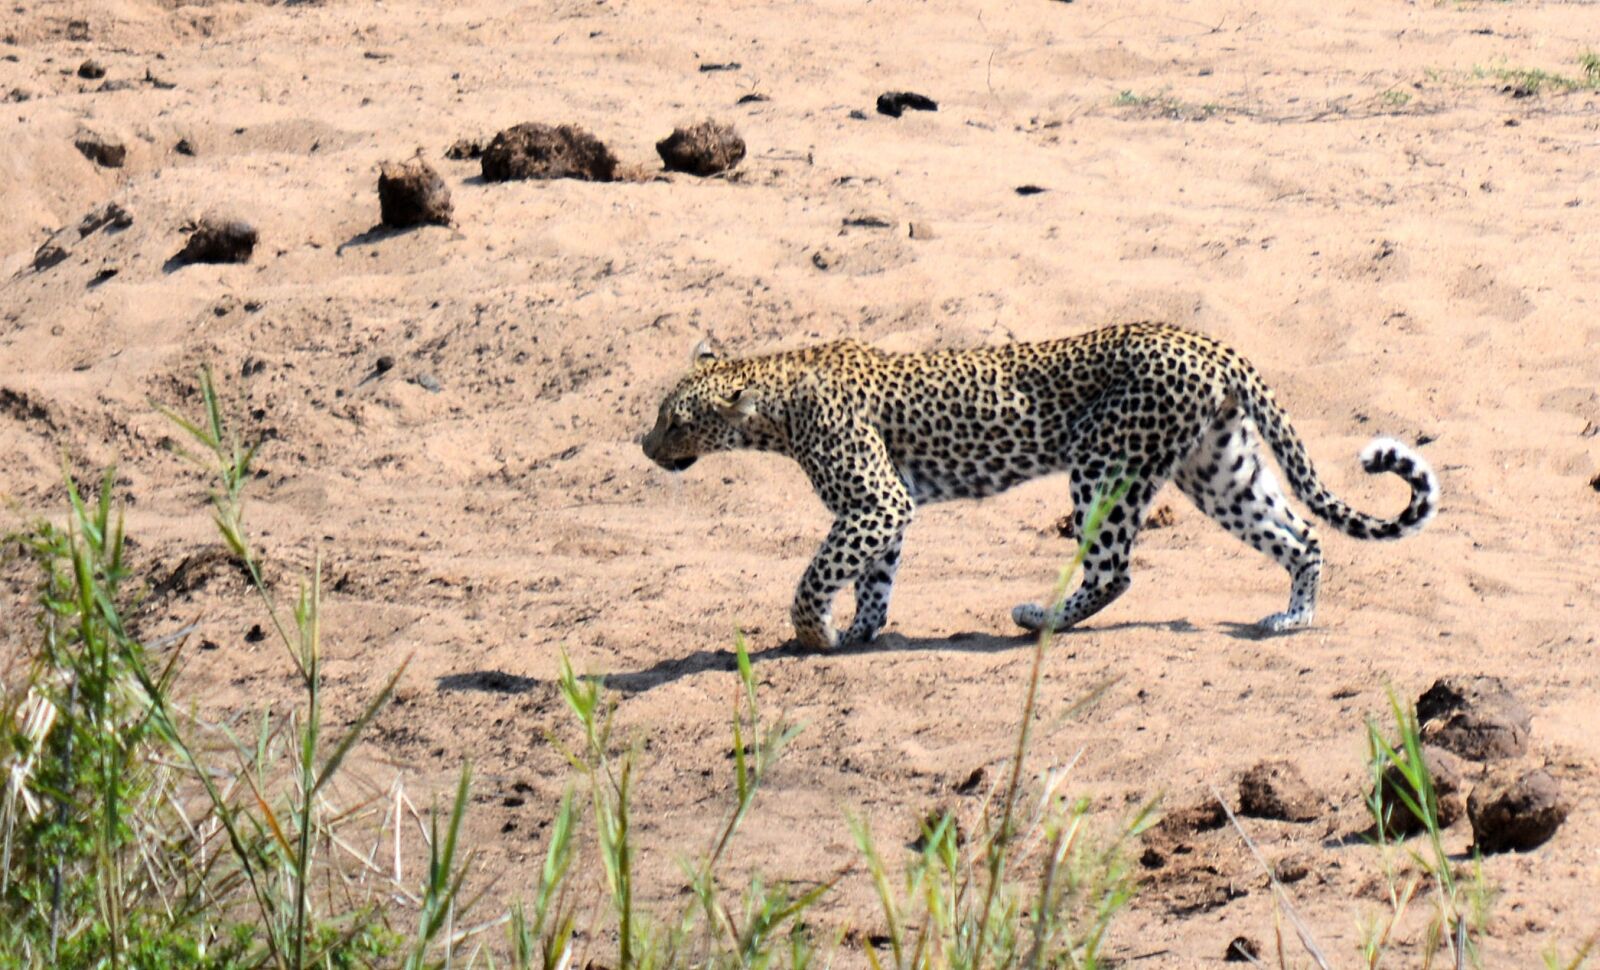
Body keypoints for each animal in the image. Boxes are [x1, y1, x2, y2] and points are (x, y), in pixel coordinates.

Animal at [642, 322, 1438, 651]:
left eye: (675, 420)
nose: (644, 446)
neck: (776, 400)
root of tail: (1207, 342)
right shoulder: (885, 508)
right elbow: (873, 577)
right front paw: (863, 629)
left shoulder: (875, 501)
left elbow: (815, 576)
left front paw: (815, 634)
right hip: (1218, 469)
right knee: (1299, 534)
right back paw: (1293, 618)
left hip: (1106, 465)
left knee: (1114, 570)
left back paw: (1039, 618)